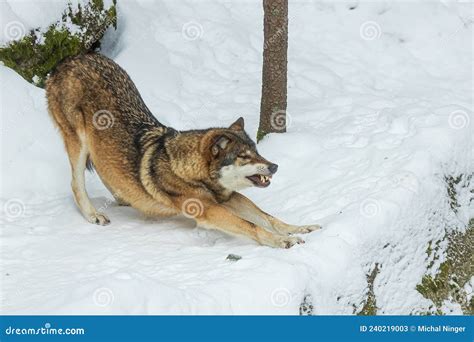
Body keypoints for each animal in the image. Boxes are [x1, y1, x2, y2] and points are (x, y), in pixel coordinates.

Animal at [45, 52, 318, 247]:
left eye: (257, 151)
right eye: (243, 156)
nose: (275, 166)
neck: (190, 172)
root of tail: (67, 60)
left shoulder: (230, 198)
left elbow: (268, 217)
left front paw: (299, 228)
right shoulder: (210, 210)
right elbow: (253, 226)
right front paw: (283, 241)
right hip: (78, 143)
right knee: (76, 183)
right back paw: (94, 215)